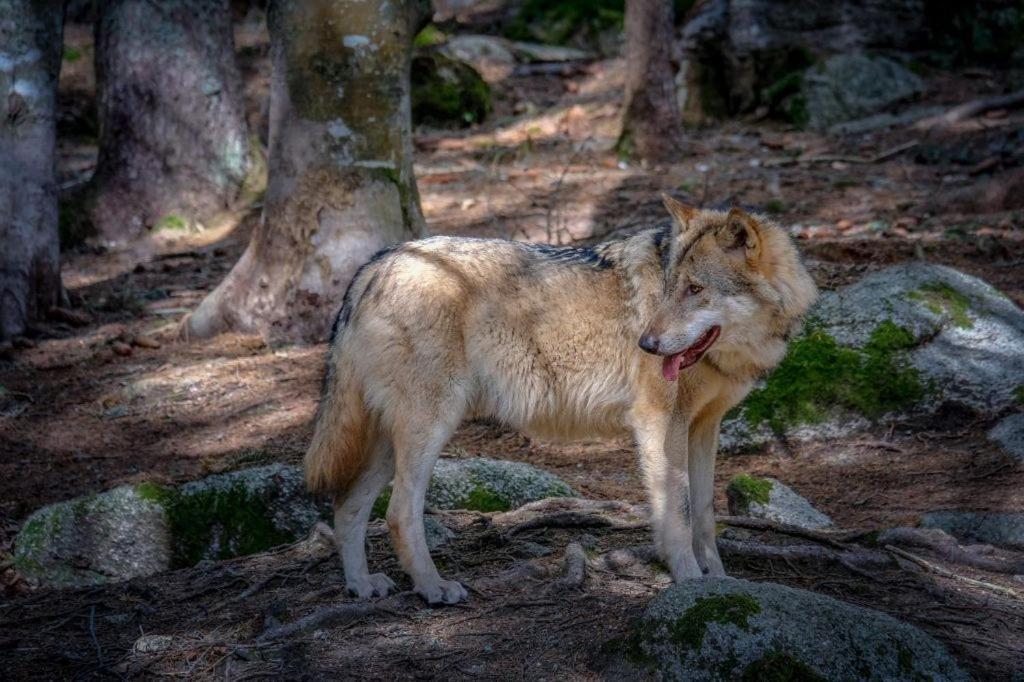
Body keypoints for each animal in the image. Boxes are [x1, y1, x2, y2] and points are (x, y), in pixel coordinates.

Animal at [301, 196, 815, 602]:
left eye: (695, 290)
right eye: (671, 289)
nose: (646, 345)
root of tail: (377, 261)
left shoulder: (704, 426)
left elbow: (705, 513)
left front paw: (722, 581)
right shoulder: (658, 422)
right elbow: (678, 513)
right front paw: (689, 581)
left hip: (391, 439)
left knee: (347, 506)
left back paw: (361, 585)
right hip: (429, 428)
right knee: (398, 513)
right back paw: (433, 588)